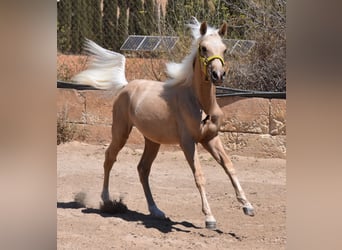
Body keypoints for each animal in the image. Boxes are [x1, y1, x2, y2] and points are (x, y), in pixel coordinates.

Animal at [73, 17, 254, 229]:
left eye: (224, 49)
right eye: (203, 48)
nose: (218, 75)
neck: (199, 103)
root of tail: (126, 86)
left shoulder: (210, 138)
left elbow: (229, 166)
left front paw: (247, 206)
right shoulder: (188, 143)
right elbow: (199, 176)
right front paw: (209, 218)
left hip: (152, 141)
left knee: (143, 169)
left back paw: (156, 210)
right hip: (120, 132)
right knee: (110, 157)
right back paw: (107, 200)